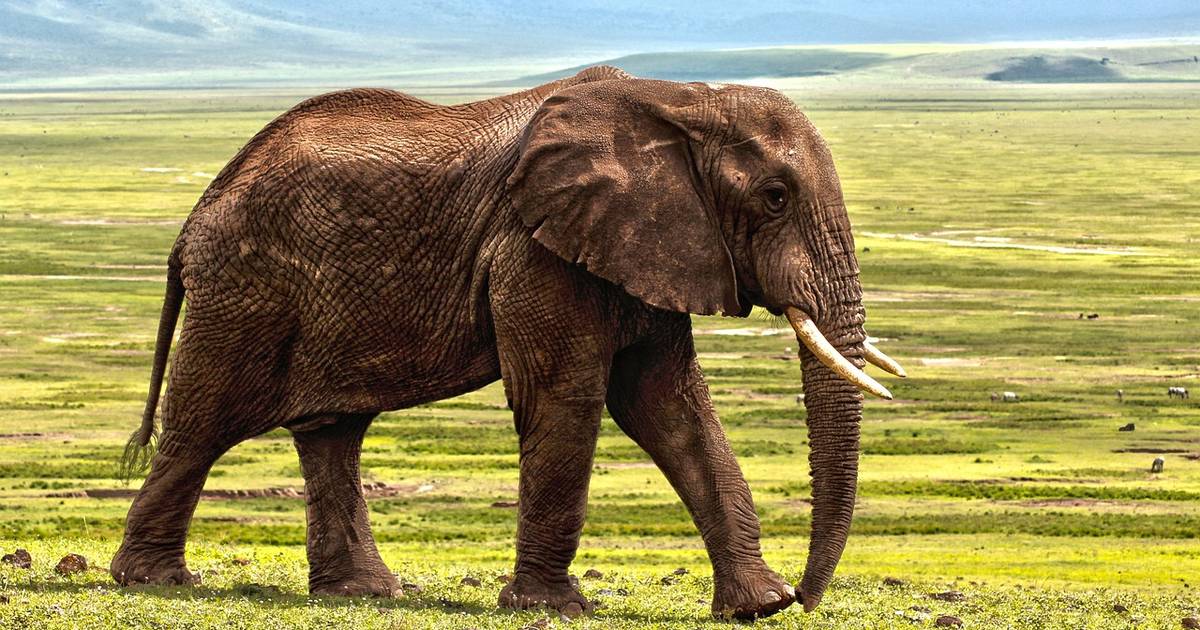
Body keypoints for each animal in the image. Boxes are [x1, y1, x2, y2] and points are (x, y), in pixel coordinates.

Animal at [110, 65, 905, 620]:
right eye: (775, 197)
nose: (807, 597)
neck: (680, 100)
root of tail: (195, 215)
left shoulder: (647, 246)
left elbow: (670, 408)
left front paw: (757, 607)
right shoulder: (534, 248)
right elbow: (567, 398)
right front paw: (555, 610)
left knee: (332, 431)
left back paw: (364, 595)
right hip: (244, 288)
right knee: (204, 422)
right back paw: (155, 582)